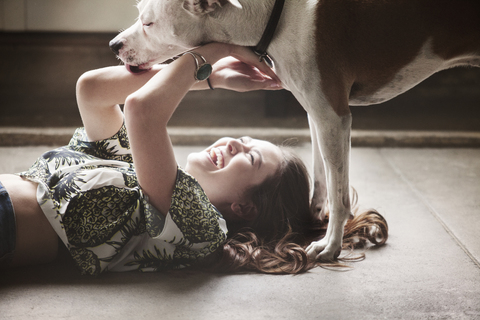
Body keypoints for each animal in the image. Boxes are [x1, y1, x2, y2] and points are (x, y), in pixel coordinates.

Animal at [109, 0, 480, 260]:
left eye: (149, 22)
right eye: (138, 13)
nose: (113, 44)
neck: (273, 19)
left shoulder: (333, 115)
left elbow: (339, 192)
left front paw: (330, 245)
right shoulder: (319, 114)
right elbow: (323, 176)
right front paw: (315, 214)